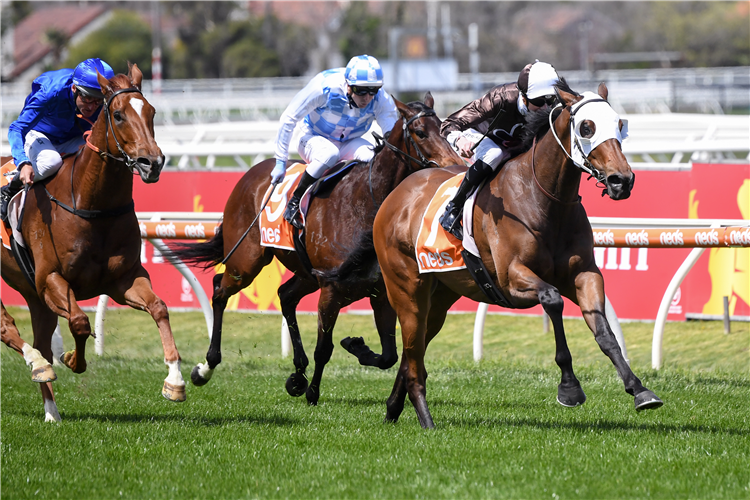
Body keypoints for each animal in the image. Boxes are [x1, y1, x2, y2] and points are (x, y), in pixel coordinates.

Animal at [0, 63, 186, 422]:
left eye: (152, 112)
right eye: (118, 114)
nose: (152, 163)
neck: (92, 204)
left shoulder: (123, 279)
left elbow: (159, 308)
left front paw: (175, 380)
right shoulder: (51, 279)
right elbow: (80, 322)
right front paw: (72, 359)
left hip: (33, 293)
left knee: (40, 336)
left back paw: (51, 411)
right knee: (9, 329)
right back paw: (38, 363)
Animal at [170, 94, 464, 406]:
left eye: (443, 129)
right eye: (420, 132)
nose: (454, 164)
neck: (365, 205)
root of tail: (251, 174)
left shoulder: (379, 292)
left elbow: (388, 355)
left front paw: (355, 347)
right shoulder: (331, 288)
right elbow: (325, 348)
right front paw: (313, 391)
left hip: (305, 274)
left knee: (285, 296)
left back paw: (297, 373)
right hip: (246, 261)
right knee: (219, 290)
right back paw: (206, 367)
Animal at [372, 82, 664, 430]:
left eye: (620, 124)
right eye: (587, 127)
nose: (623, 180)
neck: (543, 200)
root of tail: (395, 196)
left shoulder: (585, 274)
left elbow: (605, 332)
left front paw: (639, 389)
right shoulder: (511, 279)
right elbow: (553, 300)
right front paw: (569, 388)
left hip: (440, 297)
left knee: (412, 352)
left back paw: (392, 407)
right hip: (406, 290)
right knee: (413, 352)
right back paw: (426, 420)